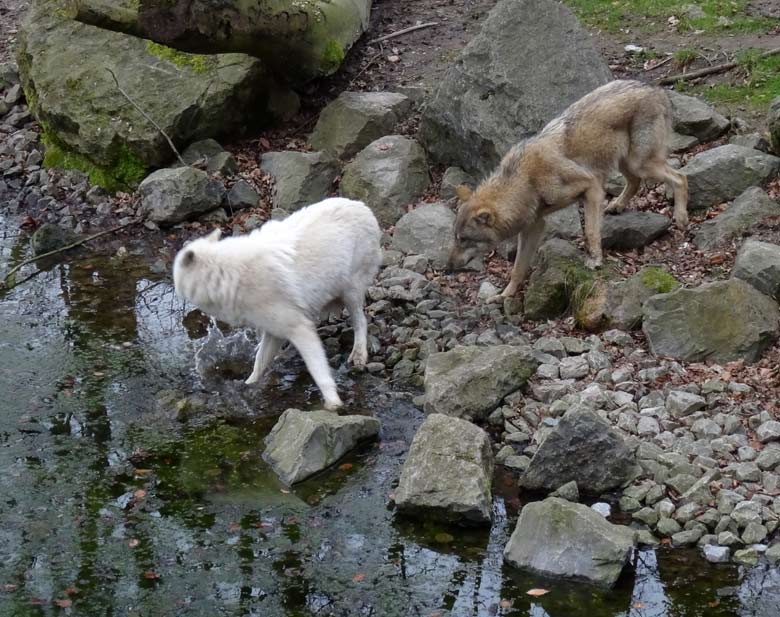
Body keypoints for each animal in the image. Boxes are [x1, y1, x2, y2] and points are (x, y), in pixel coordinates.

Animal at [175, 197, 386, 410]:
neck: (227, 276)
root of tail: (363, 207)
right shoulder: (273, 330)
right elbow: (259, 362)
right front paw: (248, 385)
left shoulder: (299, 328)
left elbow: (318, 371)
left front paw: (333, 403)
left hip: (351, 291)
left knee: (361, 321)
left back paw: (359, 355)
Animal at [448, 79, 684, 296]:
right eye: (455, 237)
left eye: (464, 240)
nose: (448, 266)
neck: (526, 181)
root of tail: (656, 89)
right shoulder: (533, 227)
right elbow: (518, 269)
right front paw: (505, 295)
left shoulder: (592, 187)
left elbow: (590, 231)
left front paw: (595, 260)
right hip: (624, 164)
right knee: (635, 183)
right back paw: (617, 206)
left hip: (639, 164)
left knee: (680, 178)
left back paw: (681, 218)